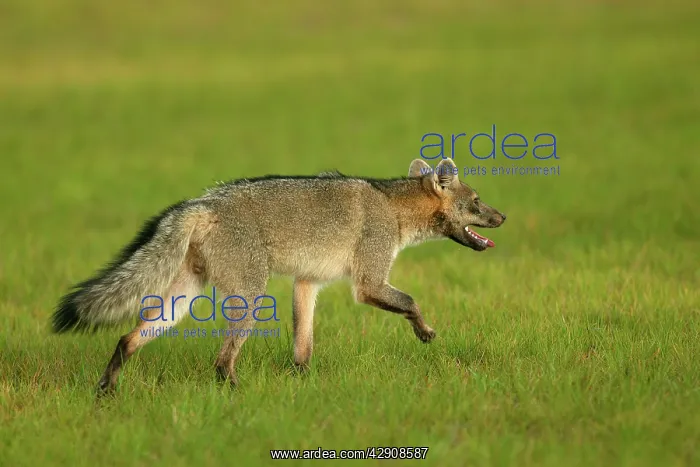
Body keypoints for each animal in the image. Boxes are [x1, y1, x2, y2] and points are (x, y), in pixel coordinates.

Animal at [52, 158, 506, 395]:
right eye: (477, 201)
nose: (503, 217)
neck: (393, 208)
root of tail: (203, 202)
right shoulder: (368, 284)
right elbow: (411, 301)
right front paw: (424, 331)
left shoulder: (306, 284)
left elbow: (303, 347)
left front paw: (303, 385)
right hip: (250, 300)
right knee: (221, 362)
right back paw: (236, 395)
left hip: (180, 303)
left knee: (126, 339)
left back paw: (106, 391)